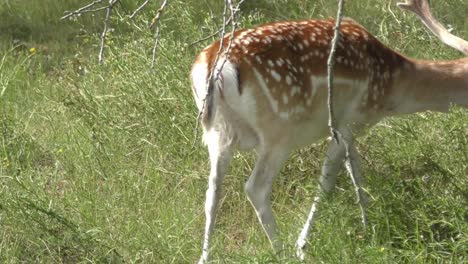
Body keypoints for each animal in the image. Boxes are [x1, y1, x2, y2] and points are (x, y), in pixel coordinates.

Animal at [189, 0, 464, 262]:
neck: (391, 90)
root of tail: (212, 65)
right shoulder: (348, 122)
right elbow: (328, 180)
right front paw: (302, 246)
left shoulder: (352, 129)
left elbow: (356, 172)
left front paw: (369, 224)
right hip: (278, 131)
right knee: (255, 188)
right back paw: (282, 252)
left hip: (217, 133)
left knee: (212, 191)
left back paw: (205, 257)